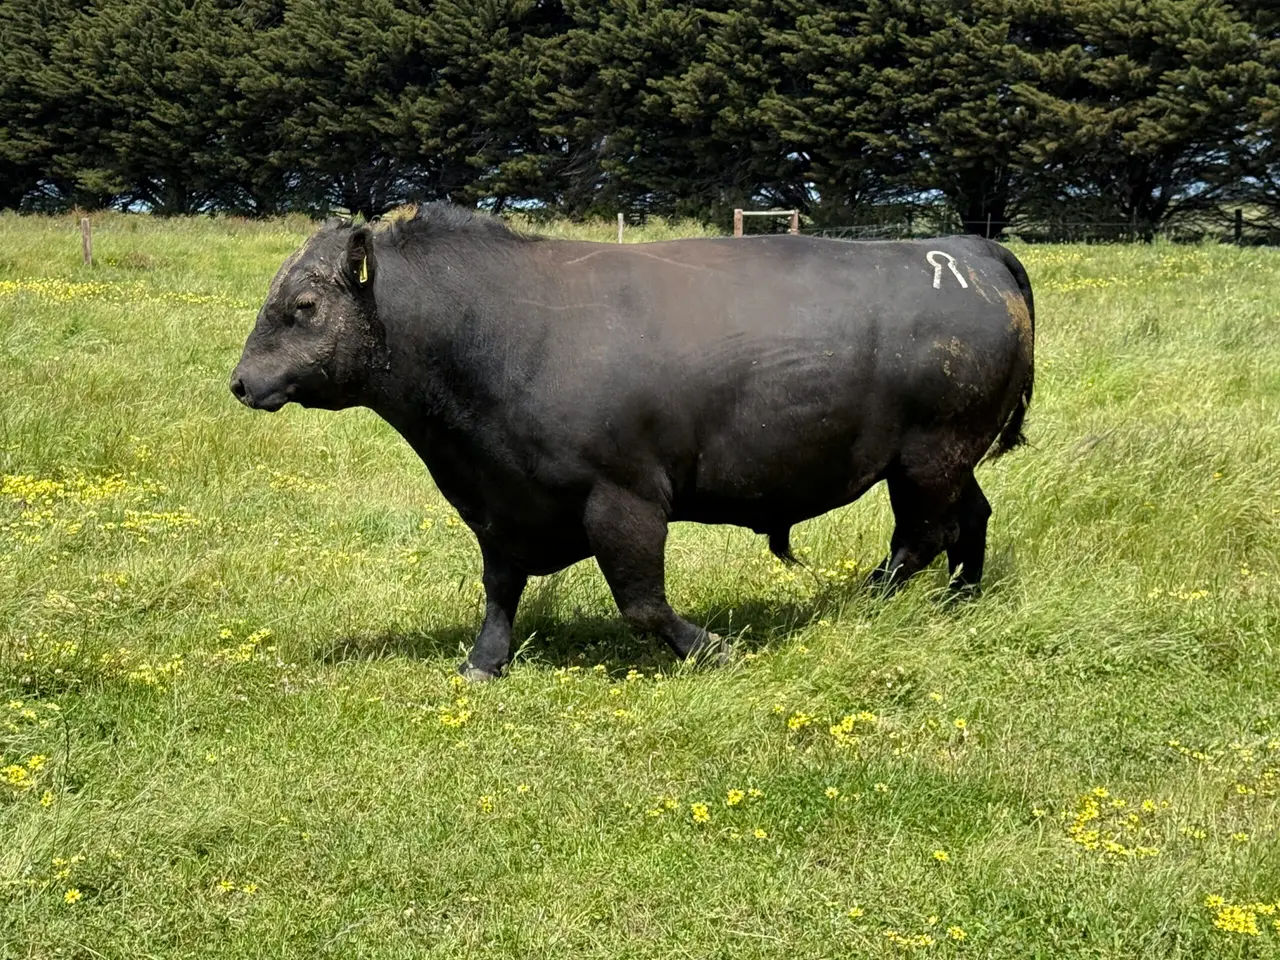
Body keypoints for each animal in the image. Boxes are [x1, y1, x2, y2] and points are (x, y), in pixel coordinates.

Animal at [230, 202, 1034, 681]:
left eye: (304, 306)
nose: (240, 382)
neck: (496, 331)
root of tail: (965, 250)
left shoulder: (624, 499)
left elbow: (641, 600)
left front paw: (711, 647)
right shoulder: (500, 504)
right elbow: (500, 588)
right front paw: (484, 663)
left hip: (928, 457)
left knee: (917, 539)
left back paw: (862, 603)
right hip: (946, 462)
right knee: (969, 521)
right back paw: (958, 603)